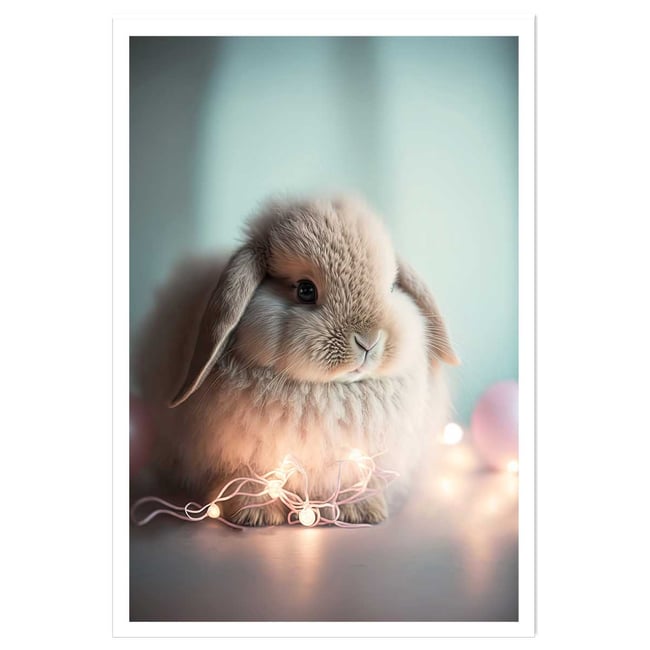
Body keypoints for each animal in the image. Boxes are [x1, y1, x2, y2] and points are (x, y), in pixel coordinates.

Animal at [133, 196, 459, 526]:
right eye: (305, 290)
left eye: (391, 288)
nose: (368, 341)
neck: (328, 390)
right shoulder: (244, 458)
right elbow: (250, 480)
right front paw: (255, 515)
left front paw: (362, 511)